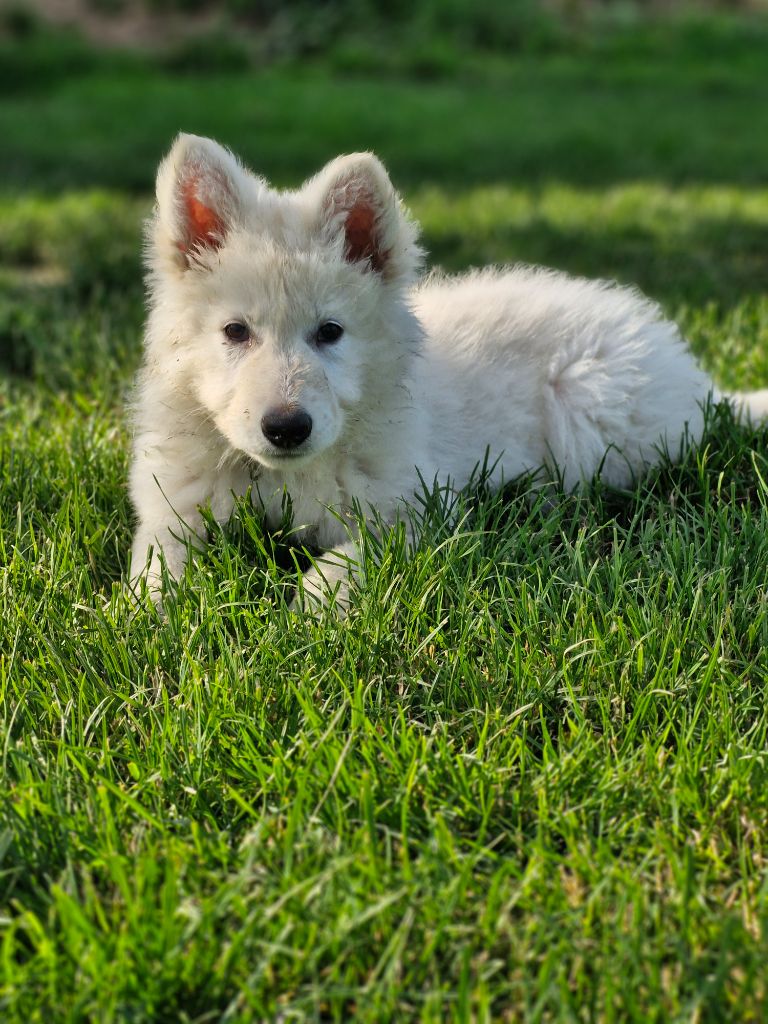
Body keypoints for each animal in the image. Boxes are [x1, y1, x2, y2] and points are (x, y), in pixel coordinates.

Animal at [129, 132, 765, 602]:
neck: (279, 477)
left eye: (330, 332)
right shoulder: (172, 512)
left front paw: (306, 615)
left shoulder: (411, 514)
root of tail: (692, 375)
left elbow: (339, 565)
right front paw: (142, 617)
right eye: (236, 332)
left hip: (591, 415)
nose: (286, 428)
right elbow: (155, 570)